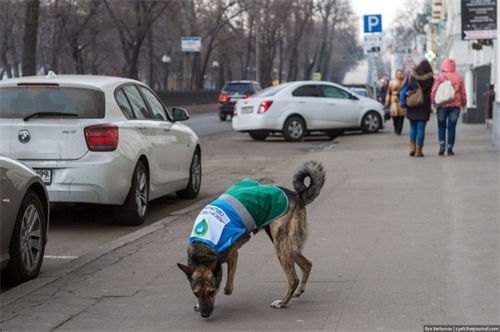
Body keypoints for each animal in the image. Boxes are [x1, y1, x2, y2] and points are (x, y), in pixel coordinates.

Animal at [178, 161, 326, 320]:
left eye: (211, 291)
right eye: (196, 293)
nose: (204, 315)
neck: (203, 247)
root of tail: (296, 195)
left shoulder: (233, 255)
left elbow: (227, 287)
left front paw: (224, 291)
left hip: (281, 246)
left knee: (293, 279)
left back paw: (283, 302)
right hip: (285, 245)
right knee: (307, 264)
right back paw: (298, 291)